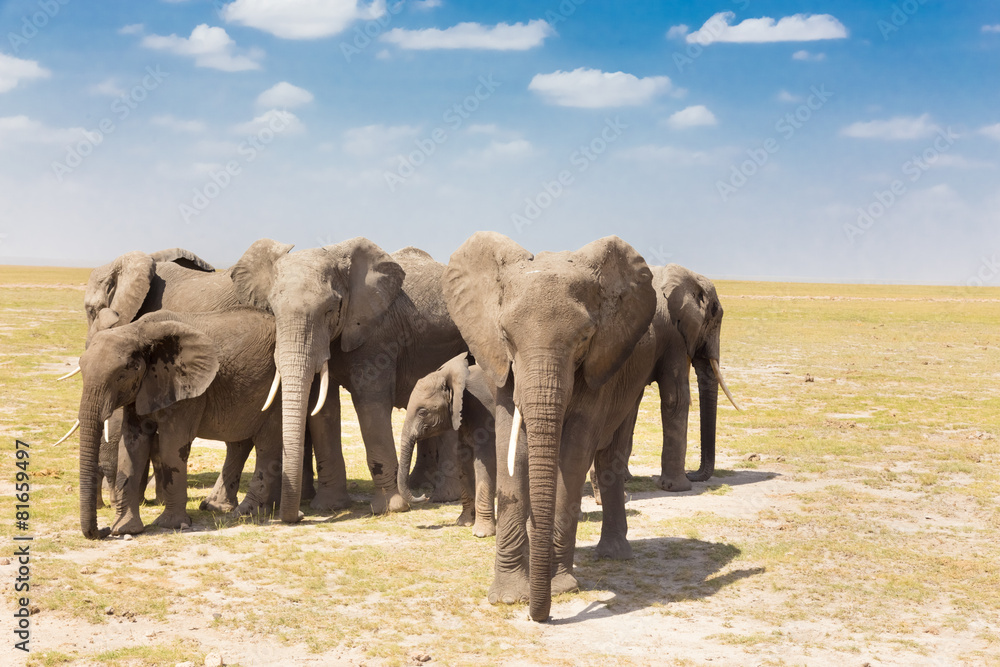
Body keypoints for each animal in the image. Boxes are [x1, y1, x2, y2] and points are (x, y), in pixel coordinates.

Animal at [77, 308, 283, 539]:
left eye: (122, 375)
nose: (101, 531)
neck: (137, 331)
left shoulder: (185, 388)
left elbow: (171, 446)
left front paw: (170, 525)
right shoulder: (143, 389)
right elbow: (131, 447)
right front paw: (124, 529)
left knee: (267, 442)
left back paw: (254, 511)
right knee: (239, 443)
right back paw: (219, 507)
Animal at [226, 239, 467, 522]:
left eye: (330, 310)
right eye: (273, 311)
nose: (300, 515)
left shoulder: (377, 333)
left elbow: (369, 403)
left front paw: (390, 508)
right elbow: (323, 410)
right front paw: (329, 507)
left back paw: (443, 496)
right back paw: (423, 488)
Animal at [396, 352, 497, 537]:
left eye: (423, 412)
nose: (425, 496)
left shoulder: (486, 415)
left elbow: (484, 463)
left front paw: (481, 533)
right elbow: (463, 461)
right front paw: (463, 523)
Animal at [443, 231, 657, 622]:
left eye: (585, 337)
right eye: (505, 335)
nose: (540, 616)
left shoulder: (599, 363)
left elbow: (572, 457)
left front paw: (560, 588)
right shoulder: (499, 363)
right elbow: (510, 451)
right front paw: (509, 597)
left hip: (632, 382)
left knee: (610, 456)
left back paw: (613, 554)